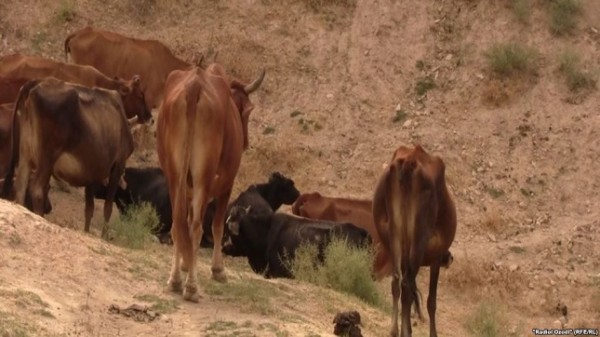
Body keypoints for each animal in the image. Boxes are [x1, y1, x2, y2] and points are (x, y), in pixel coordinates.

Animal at [157, 64, 264, 300]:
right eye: (245, 114)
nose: (246, 141)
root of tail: (195, 85)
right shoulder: (227, 185)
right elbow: (217, 226)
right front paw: (218, 269)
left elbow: (185, 226)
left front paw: (186, 263)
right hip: (203, 179)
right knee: (197, 227)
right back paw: (191, 287)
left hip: (174, 177)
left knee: (178, 224)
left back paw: (175, 280)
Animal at [372, 144, 458, 336]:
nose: (450, 258)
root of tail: (410, 159)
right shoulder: (435, 257)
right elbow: (431, 301)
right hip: (419, 239)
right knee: (406, 285)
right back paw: (404, 332)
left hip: (394, 235)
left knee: (398, 281)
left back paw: (394, 330)